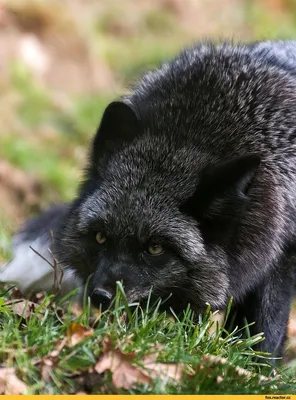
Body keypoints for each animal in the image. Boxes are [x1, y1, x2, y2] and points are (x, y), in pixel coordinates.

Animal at [4, 41, 296, 356]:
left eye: (155, 248)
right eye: (100, 237)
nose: (100, 296)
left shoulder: (279, 260)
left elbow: (264, 332)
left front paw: (259, 365)